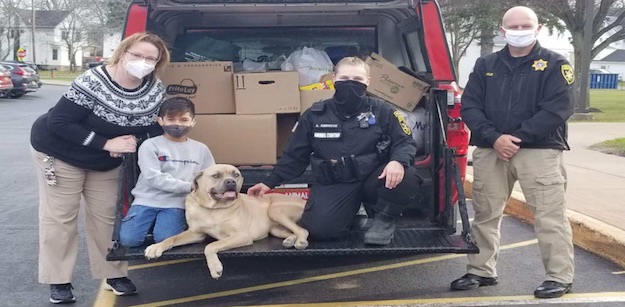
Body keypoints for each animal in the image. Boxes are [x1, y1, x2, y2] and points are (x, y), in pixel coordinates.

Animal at [142, 165, 308, 280]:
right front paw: (156, 247)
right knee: (294, 231)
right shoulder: (195, 233)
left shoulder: (241, 235)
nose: (231, 182)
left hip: (274, 210)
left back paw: (300, 241)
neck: (213, 209)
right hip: (275, 228)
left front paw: (215, 267)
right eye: (216, 175)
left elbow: (210, 246)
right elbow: (172, 238)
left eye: (236, 174)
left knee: (303, 230)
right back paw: (290, 240)